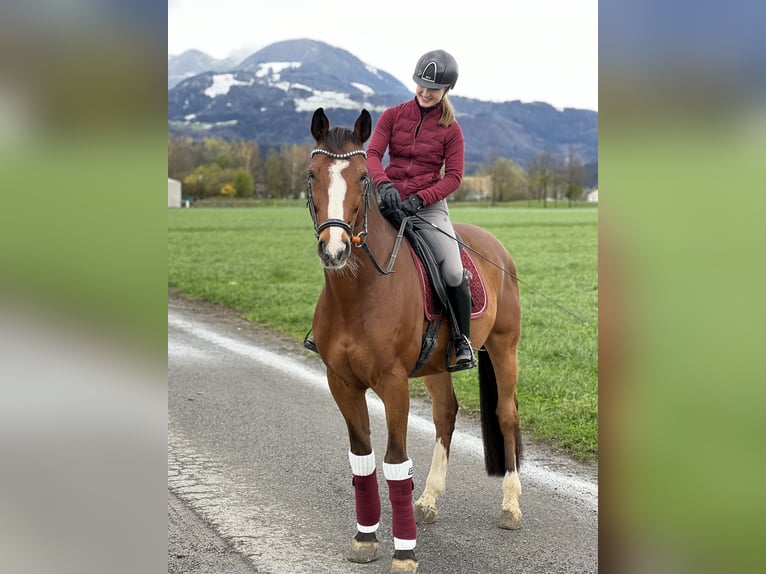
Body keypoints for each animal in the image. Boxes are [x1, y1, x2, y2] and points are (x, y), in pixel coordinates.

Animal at [308, 109, 524, 574]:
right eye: (311, 175)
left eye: (362, 178)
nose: (334, 250)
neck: (360, 293)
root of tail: (496, 247)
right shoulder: (342, 383)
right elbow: (363, 458)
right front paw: (365, 538)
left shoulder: (393, 385)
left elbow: (394, 461)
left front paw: (404, 552)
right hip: (438, 365)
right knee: (446, 414)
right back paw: (427, 499)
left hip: (505, 350)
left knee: (506, 416)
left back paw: (511, 507)